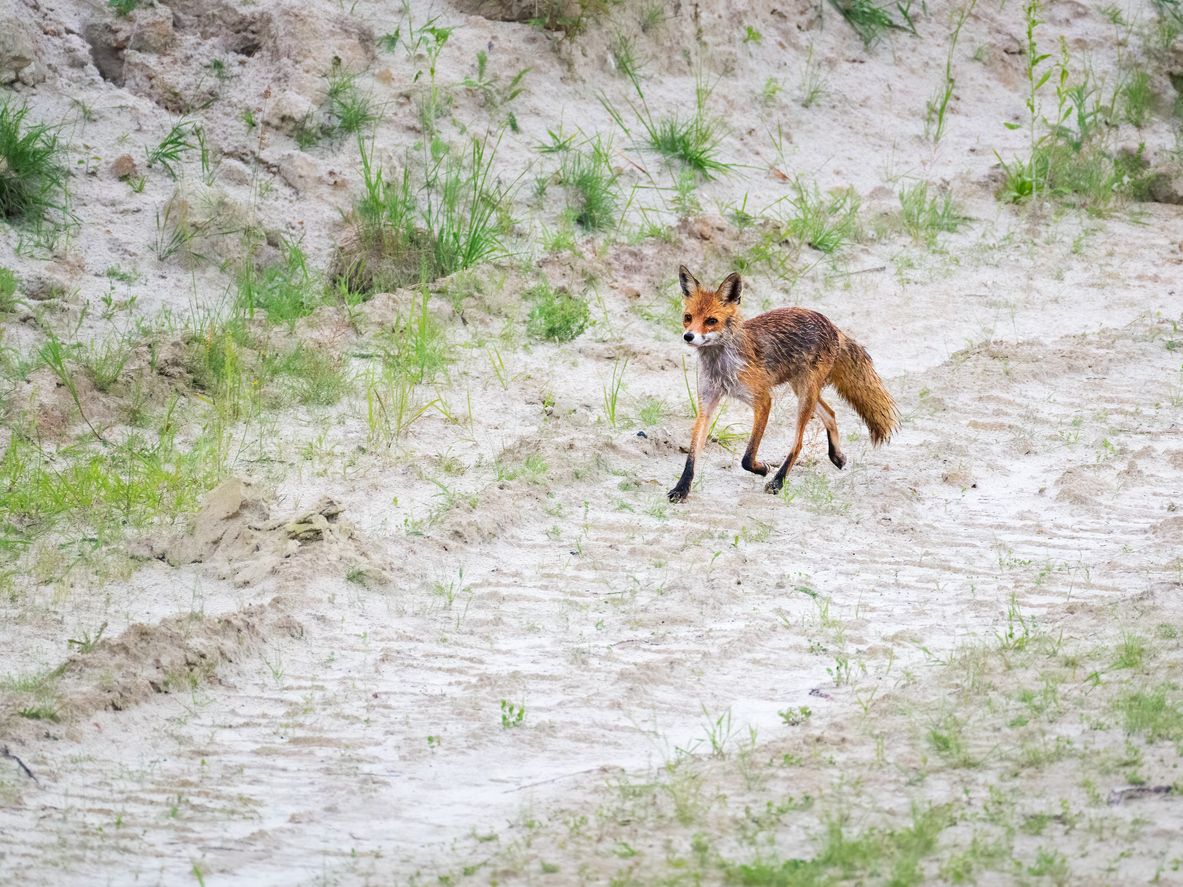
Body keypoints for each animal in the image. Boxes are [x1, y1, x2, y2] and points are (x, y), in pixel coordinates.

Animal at [668, 265, 898, 503]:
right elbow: (692, 454)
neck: (722, 367)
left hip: (805, 395)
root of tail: (831, 324)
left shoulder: (763, 400)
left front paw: (762, 468)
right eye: (688, 317)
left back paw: (778, 481)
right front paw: (681, 488)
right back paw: (836, 456)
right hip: (802, 389)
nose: (688, 336)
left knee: (798, 442)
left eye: (711, 321)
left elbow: (747, 457)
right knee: (831, 413)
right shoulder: (707, 402)